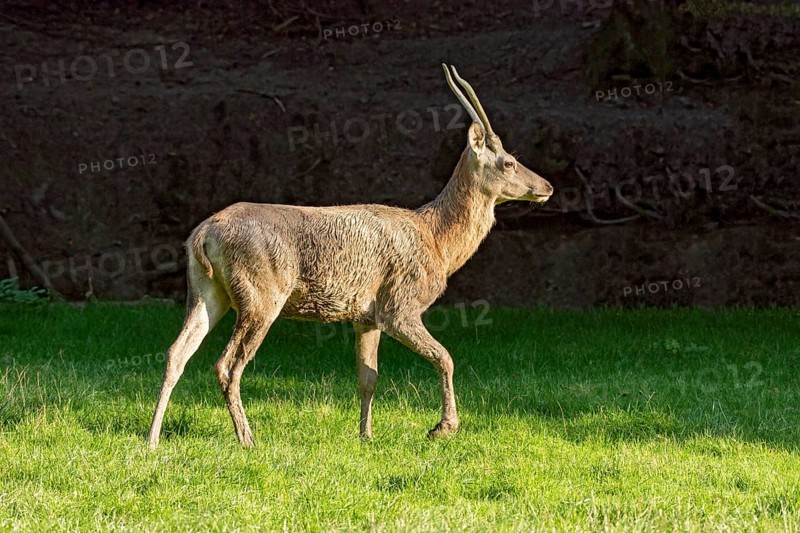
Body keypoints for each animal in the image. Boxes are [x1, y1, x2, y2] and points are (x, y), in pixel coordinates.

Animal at [147, 64, 553, 449]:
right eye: (508, 162)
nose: (547, 186)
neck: (437, 243)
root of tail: (202, 235)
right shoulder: (399, 306)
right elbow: (445, 357)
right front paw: (442, 428)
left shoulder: (366, 316)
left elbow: (368, 377)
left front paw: (366, 435)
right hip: (261, 294)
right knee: (227, 364)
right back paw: (247, 439)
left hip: (206, 291)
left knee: (176, 352)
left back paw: (152, 439)